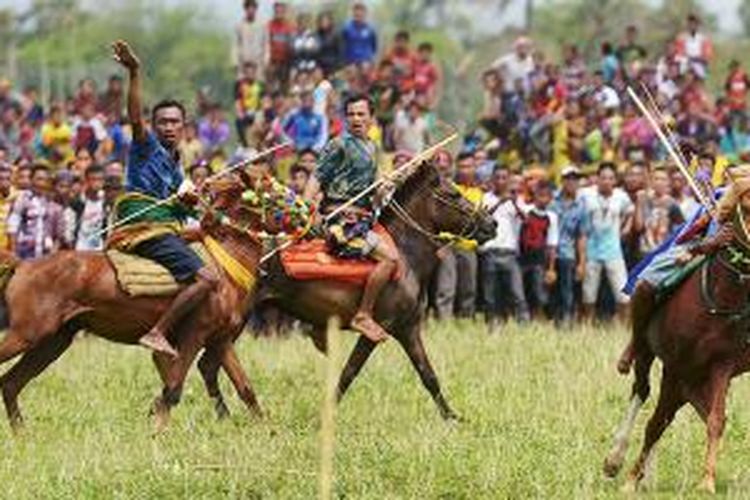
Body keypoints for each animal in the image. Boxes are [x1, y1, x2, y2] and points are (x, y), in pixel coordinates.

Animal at [0, 175, 300, 430]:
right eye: (271, 191)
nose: (305, 212)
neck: (226, 266)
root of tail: (23, 264)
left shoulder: (221, 339)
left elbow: (245, 387)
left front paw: (267, 429)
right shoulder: (195, 333)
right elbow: (174, 385)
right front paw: (158, 429)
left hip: (53, 341)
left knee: (10, 383)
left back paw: (21, 434)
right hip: (27, 333)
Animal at [194, 161, 500, 422]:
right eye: (454, 194)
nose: (491, 224)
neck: (405, 255)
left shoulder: (408, 328)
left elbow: (429, 375)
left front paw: (452, 417)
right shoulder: (380, 328)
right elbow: (349, 372)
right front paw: (324, 415)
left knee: (211, 364)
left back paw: (228, 414)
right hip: (236, 317)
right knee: (209, 363)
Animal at [604, 216, 750, 492]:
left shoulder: (722, 364)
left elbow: (716, 419)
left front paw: (707, 482)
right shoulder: (675, 367)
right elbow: (655, 424)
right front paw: (630, 480)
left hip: (694, 378)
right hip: (649, 351)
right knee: (642, 390)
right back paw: (616, 459)